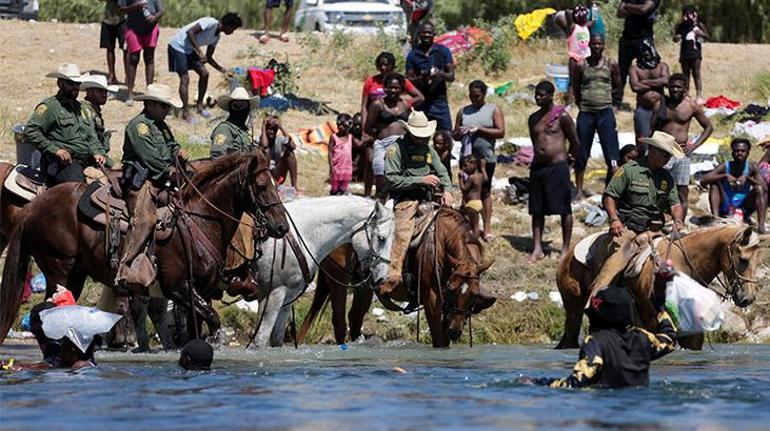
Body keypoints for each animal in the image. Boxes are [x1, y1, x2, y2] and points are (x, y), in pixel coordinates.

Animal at [0, 152, 288, 344]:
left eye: (275, 184)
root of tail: (34, 207)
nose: (282, 227)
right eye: (261, 185)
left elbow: (194, 330)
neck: (199, 221)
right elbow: (214, 321)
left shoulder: (200, 291)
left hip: (76, 274)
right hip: (59, 267)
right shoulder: (179, 287)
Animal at [249, 196, 392, 348]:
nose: (381, 279)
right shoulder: (271, 295)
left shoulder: (287, 297)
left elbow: (276, 340)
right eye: (381, 238)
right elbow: (259, 342)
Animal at [556, 226, 764, 352]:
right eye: (743, 260)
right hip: (574, 306)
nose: (748, 298)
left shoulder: (692, 333)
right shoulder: (654, 320)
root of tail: (568, 254)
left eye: (757, 261)